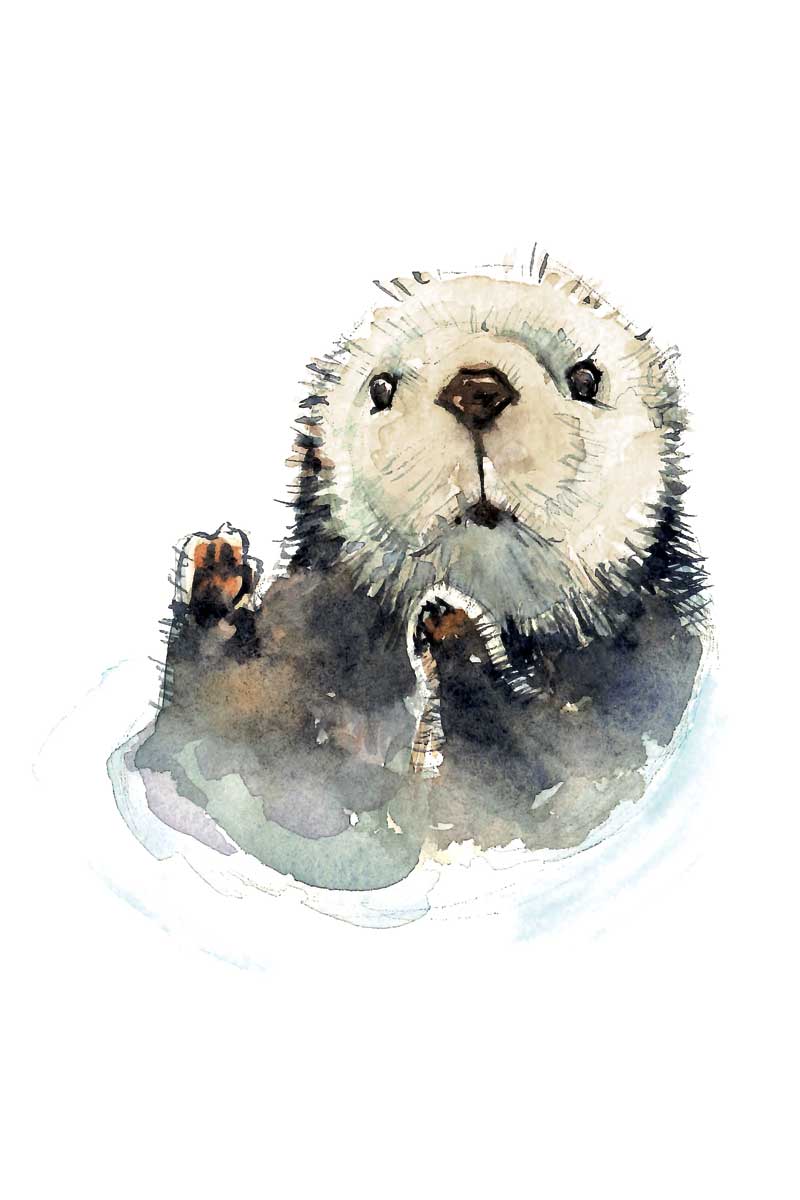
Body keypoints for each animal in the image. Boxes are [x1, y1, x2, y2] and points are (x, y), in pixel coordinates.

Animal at [120, 253, 709, 898]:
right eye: (381, 387)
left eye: (586, 378)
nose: (477, 390)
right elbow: (215, 757)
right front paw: (218, 584)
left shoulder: (643, 690)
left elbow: (551, 778)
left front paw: (458, 636)